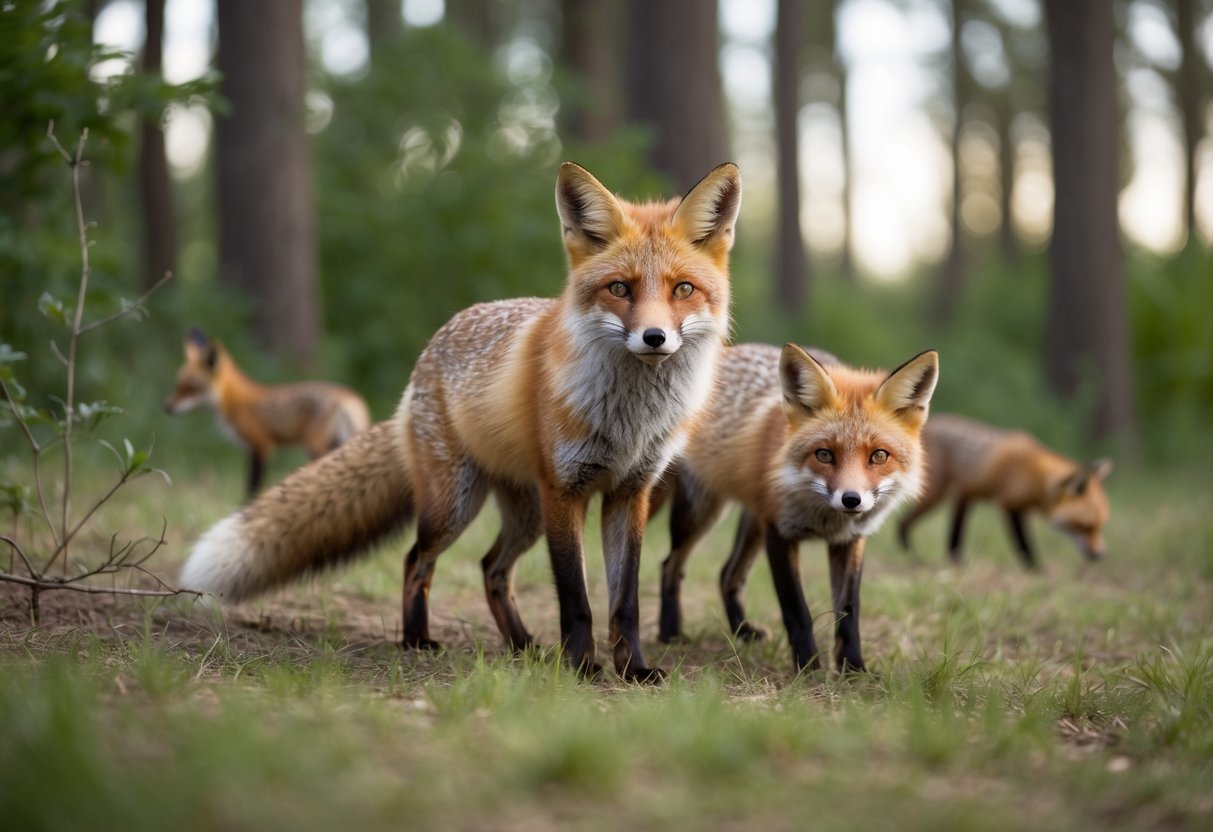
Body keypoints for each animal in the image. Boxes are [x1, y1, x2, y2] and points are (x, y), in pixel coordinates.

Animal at [164, 329, 372, 497]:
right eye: (177, 385)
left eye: (190, 388)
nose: (166, 407)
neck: (232, 402)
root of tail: (349, 395)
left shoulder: (261, 445)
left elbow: (251, 487)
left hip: (314, 445)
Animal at [654, 343, 939, 672]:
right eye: (824, 454)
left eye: (879, 456)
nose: (851, 499)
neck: (827, 521)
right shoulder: (780, 532)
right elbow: (796, 610)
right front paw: (808, 666)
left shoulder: (850, 540)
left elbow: (848, 614)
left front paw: (853, 669)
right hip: (701, 512)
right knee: (671, 565)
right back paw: (670, 633)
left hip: (753, 520)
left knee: (728, 574)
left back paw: (742, 632)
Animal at [896, 413, 1112, 567]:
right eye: (1086, 526)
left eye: (1100, 526)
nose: (1100, 555)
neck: (1034, 477)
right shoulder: (1008, 504)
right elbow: (1023, 544)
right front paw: (1035, 568)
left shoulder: (990, 499)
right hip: (934, 495)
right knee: (902, 522)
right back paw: (912, 556)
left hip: (956, 496)